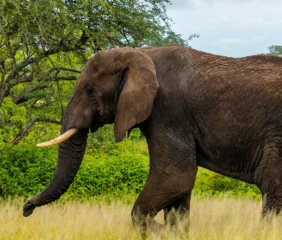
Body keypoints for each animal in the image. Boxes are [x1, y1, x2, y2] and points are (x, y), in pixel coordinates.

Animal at [23, 45, 282, 231]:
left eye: (89, 91)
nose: (26, 208)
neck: (140, 53)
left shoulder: (167, 111)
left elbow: (175, 178)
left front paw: (161, 230)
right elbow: (179, 188)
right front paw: (176, 231)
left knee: (271, 185)